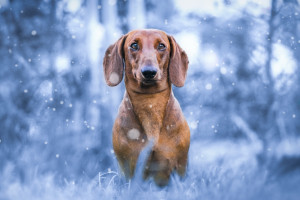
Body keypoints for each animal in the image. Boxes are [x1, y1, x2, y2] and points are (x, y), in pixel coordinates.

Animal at [103, 28, 190, 186]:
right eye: (134, 45)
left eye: (161, 46)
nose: (149, 72)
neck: (150, 103)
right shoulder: (128, 167)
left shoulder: (181, 165)